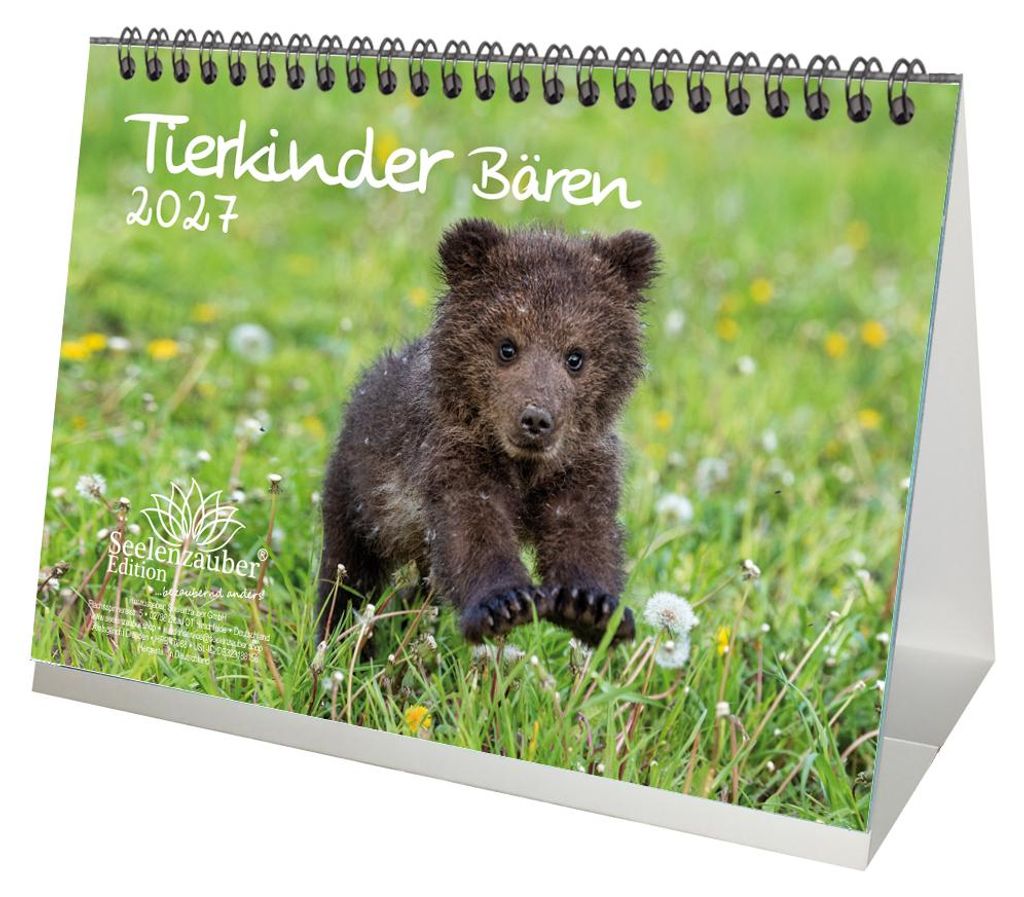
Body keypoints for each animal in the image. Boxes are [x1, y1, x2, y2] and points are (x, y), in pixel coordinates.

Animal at [317, 218, 659, 647]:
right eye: (506, 347)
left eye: (575, 356)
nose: (536, 419)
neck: (525, 466)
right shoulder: (454, 457)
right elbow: (474, 528)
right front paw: (504, 604)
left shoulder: (580, 464)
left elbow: (585, 533)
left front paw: (591, 607)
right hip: (359, 495)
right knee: (347, 571)